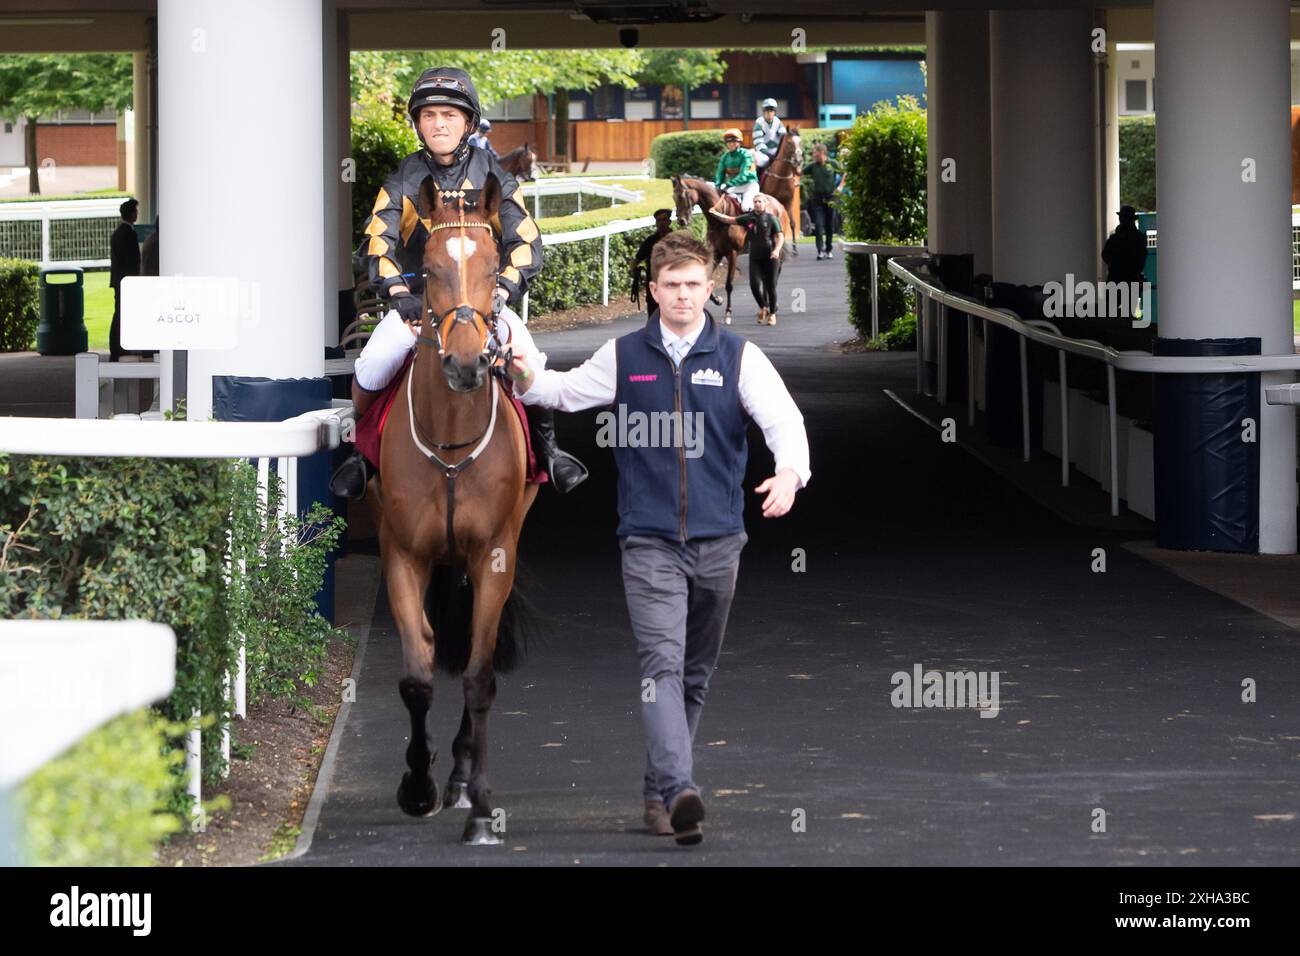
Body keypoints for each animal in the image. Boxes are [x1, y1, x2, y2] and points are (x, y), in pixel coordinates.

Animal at [759, 130, 800, 260]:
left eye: (800, 141)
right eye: (789, 142)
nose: (798, 160)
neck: (781, 176)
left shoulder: (789, 201)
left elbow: (792, 223)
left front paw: (794, 249)